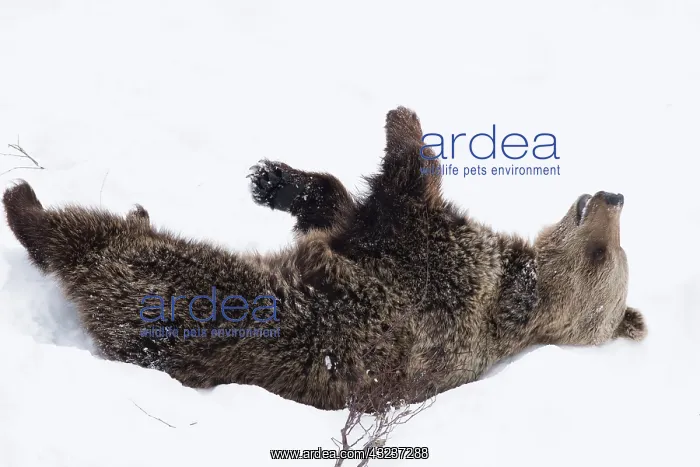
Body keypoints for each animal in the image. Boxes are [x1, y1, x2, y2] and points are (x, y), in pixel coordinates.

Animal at [2, 106, 647, 411]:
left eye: (606, 254)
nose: (614, 196)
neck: (522, 288)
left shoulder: (439, 269)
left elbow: (399, 197)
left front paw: (401, 121)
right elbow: (338, 208)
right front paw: (275, 181)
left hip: (184, 288)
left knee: (94, 240)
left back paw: (25, 202)